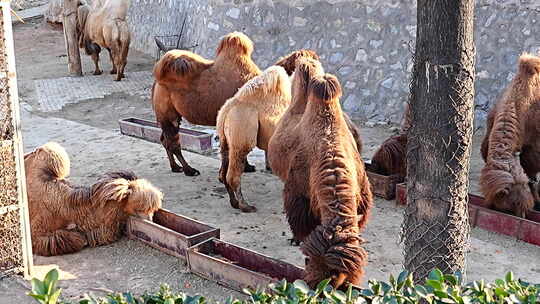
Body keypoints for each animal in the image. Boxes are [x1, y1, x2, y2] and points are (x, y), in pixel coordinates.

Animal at [215, 65, 292, 213]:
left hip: (225, 139)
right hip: (242, 126)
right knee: (234, 172)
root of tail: (227, 109)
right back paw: (245, 206)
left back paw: (234, 203)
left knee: (224, 169)